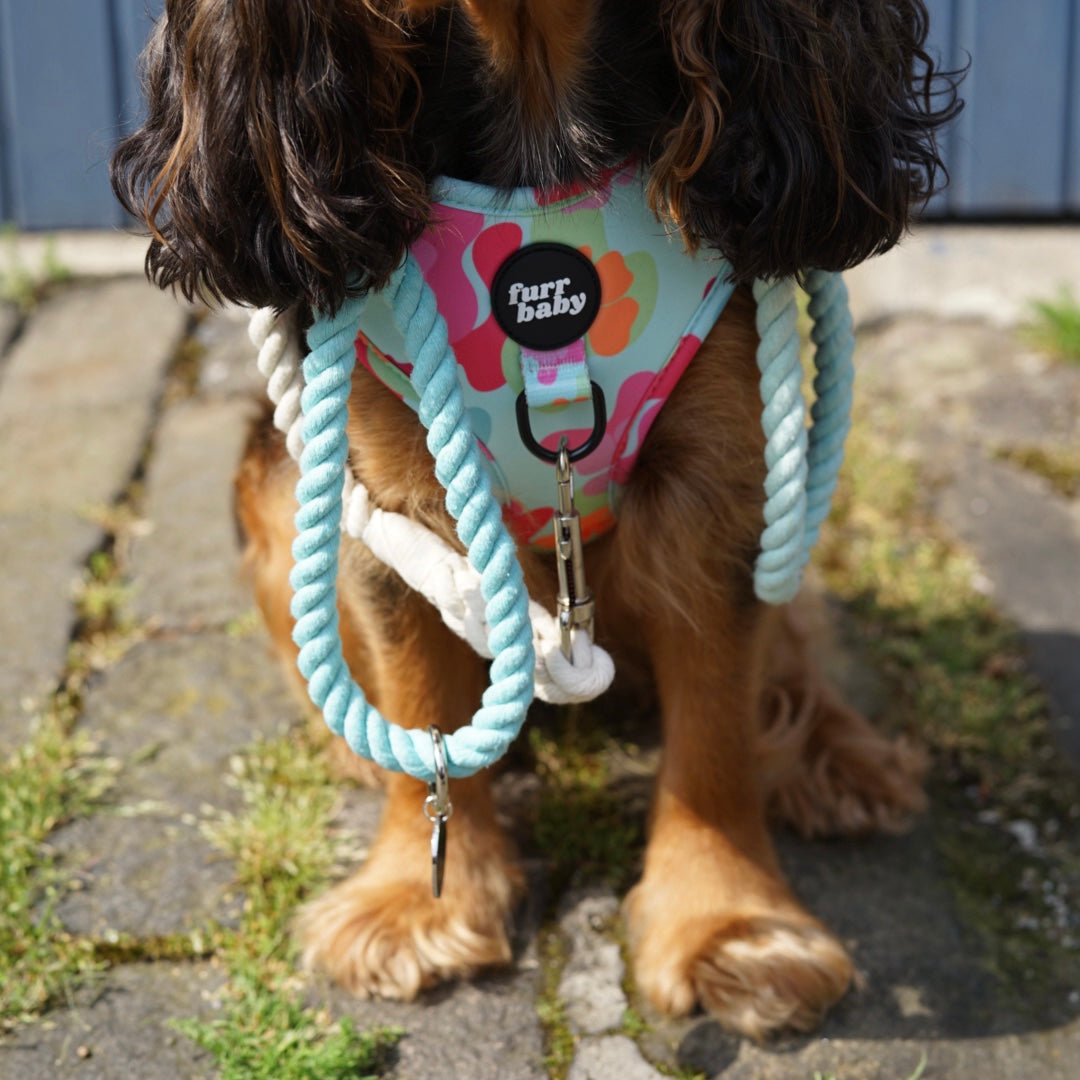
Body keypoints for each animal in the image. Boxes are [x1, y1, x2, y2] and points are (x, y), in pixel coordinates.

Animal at [113, 2, 963, 1045]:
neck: (537, 111)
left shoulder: (718, 487)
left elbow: (717, 723)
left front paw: (728, 925)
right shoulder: (389, 492)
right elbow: (423, 709)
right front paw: (417, 901)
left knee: (795, 643)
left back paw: (839, 759)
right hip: (273, 483)